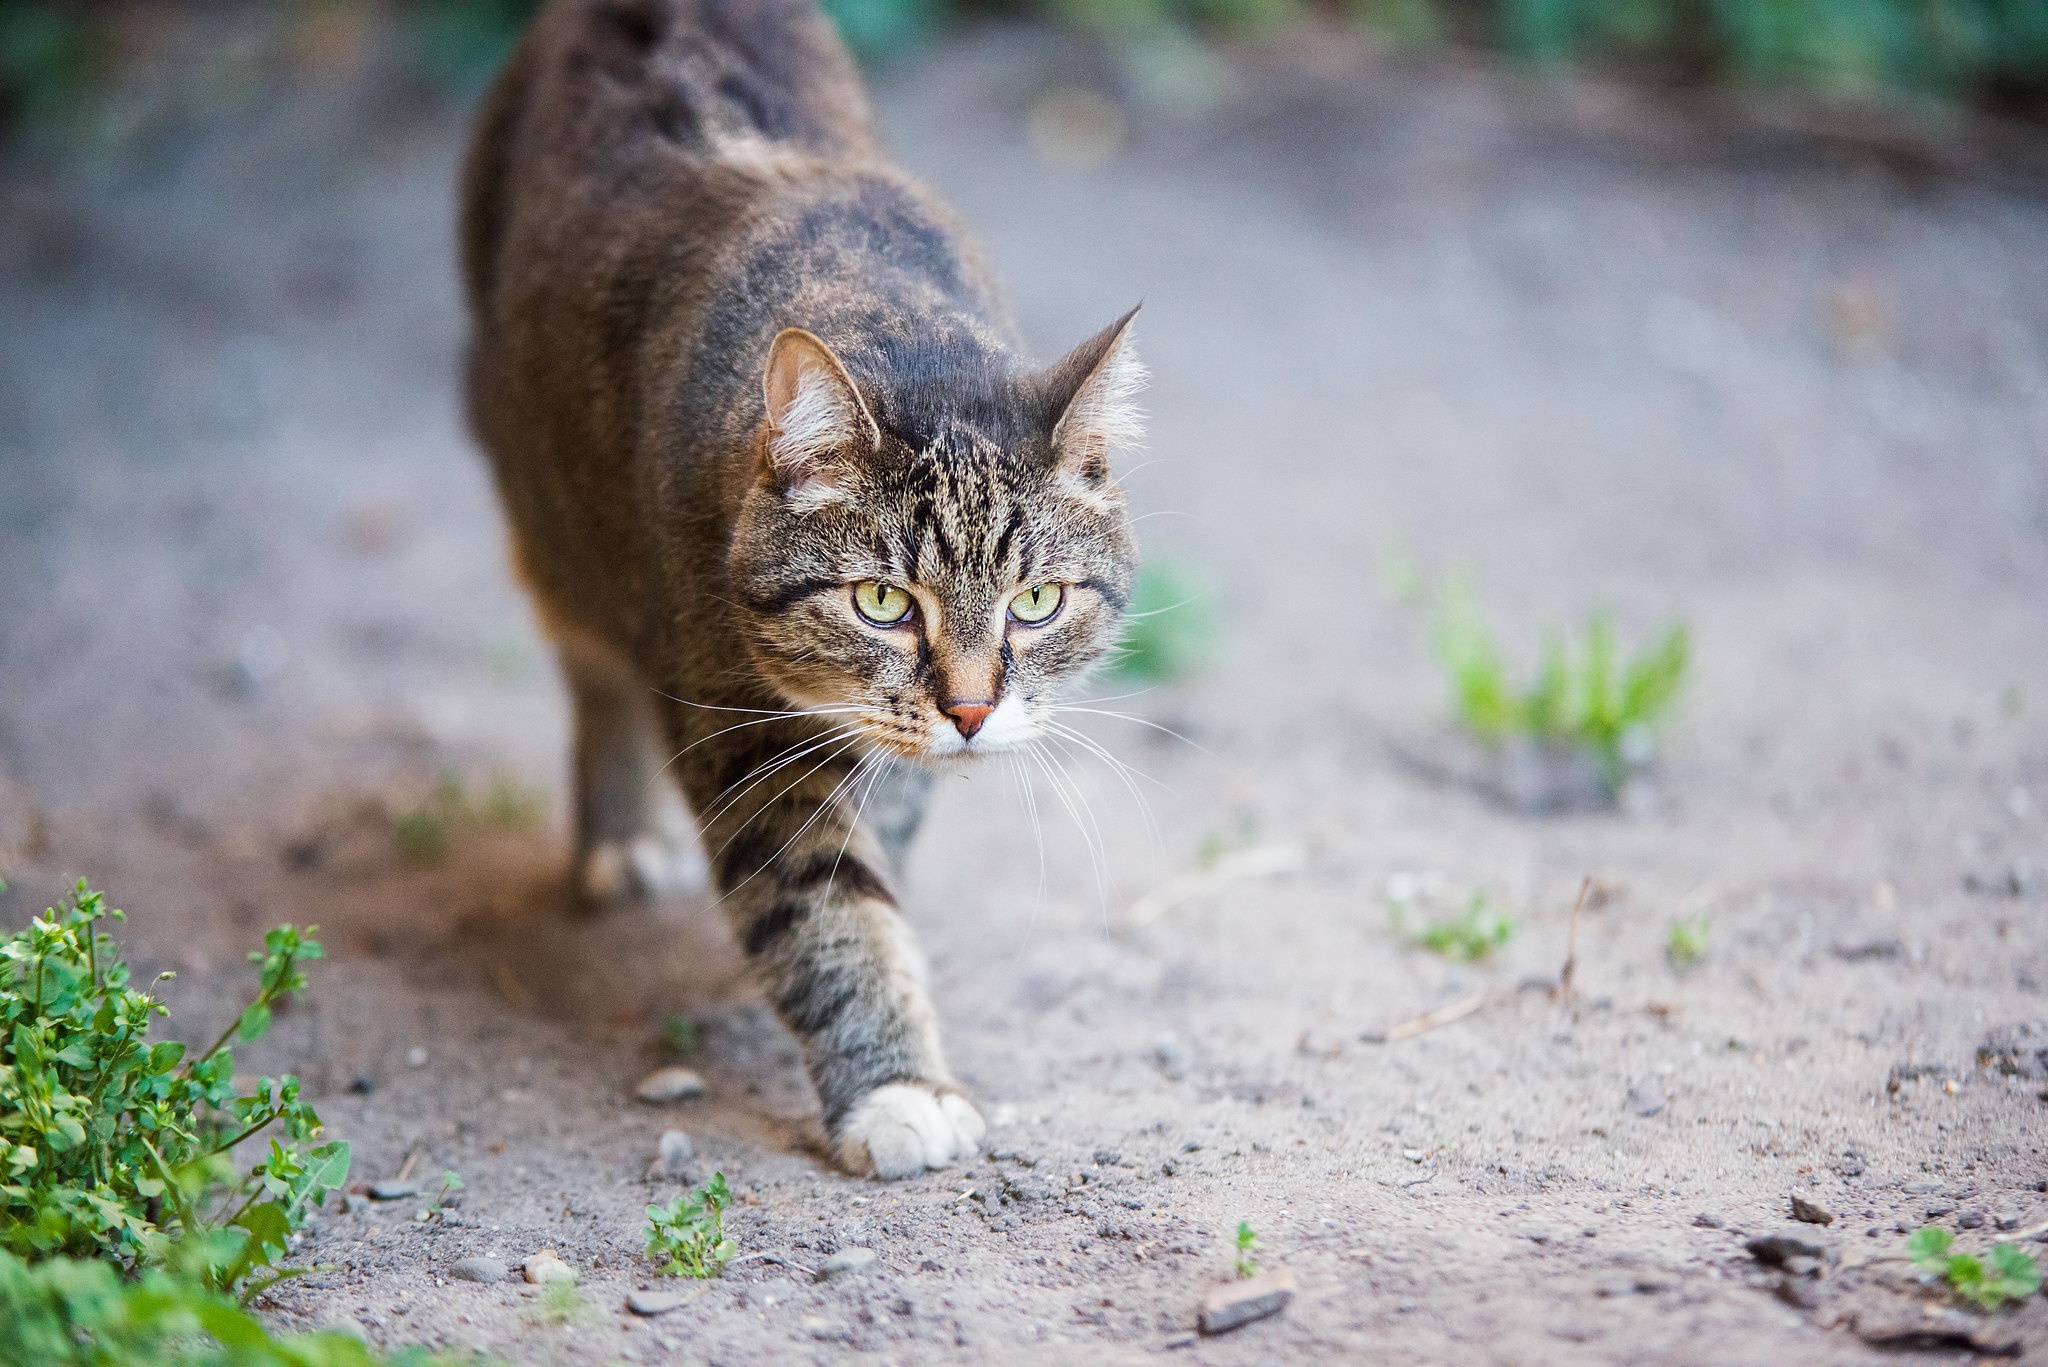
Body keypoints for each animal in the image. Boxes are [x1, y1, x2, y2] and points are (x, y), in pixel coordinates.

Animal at [454, 0, 1146, 1180]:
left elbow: (881, 832)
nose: (970, 709)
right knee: (591, 659)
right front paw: (897, 1085)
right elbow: (825, 903)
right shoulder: (740, 733)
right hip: (541, 499)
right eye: (882, 602)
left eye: (1037, 602)